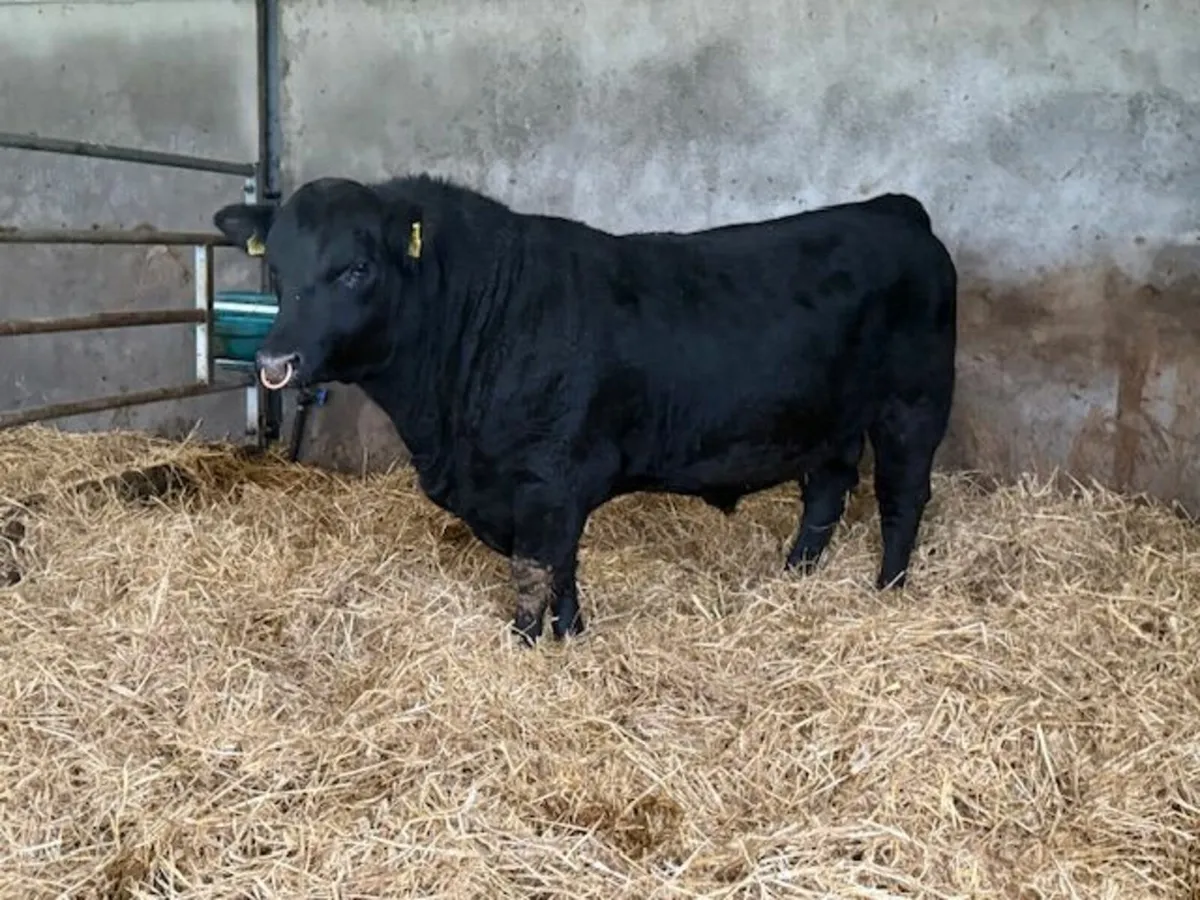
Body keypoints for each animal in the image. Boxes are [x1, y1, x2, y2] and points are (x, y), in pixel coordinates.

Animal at [212, 173, 957, 646]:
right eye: (277, 269)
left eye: (357, 269)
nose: (276, 360)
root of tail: (893, 208)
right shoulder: (537, 492)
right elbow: (561, 569)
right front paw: (571, 638)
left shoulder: (548, 480)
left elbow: (535, 573)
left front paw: (526, 648)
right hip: (829, 422)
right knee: (826, 493)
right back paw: (795, 576)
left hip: (913, 407)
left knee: (902, 498)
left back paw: (887, 591)